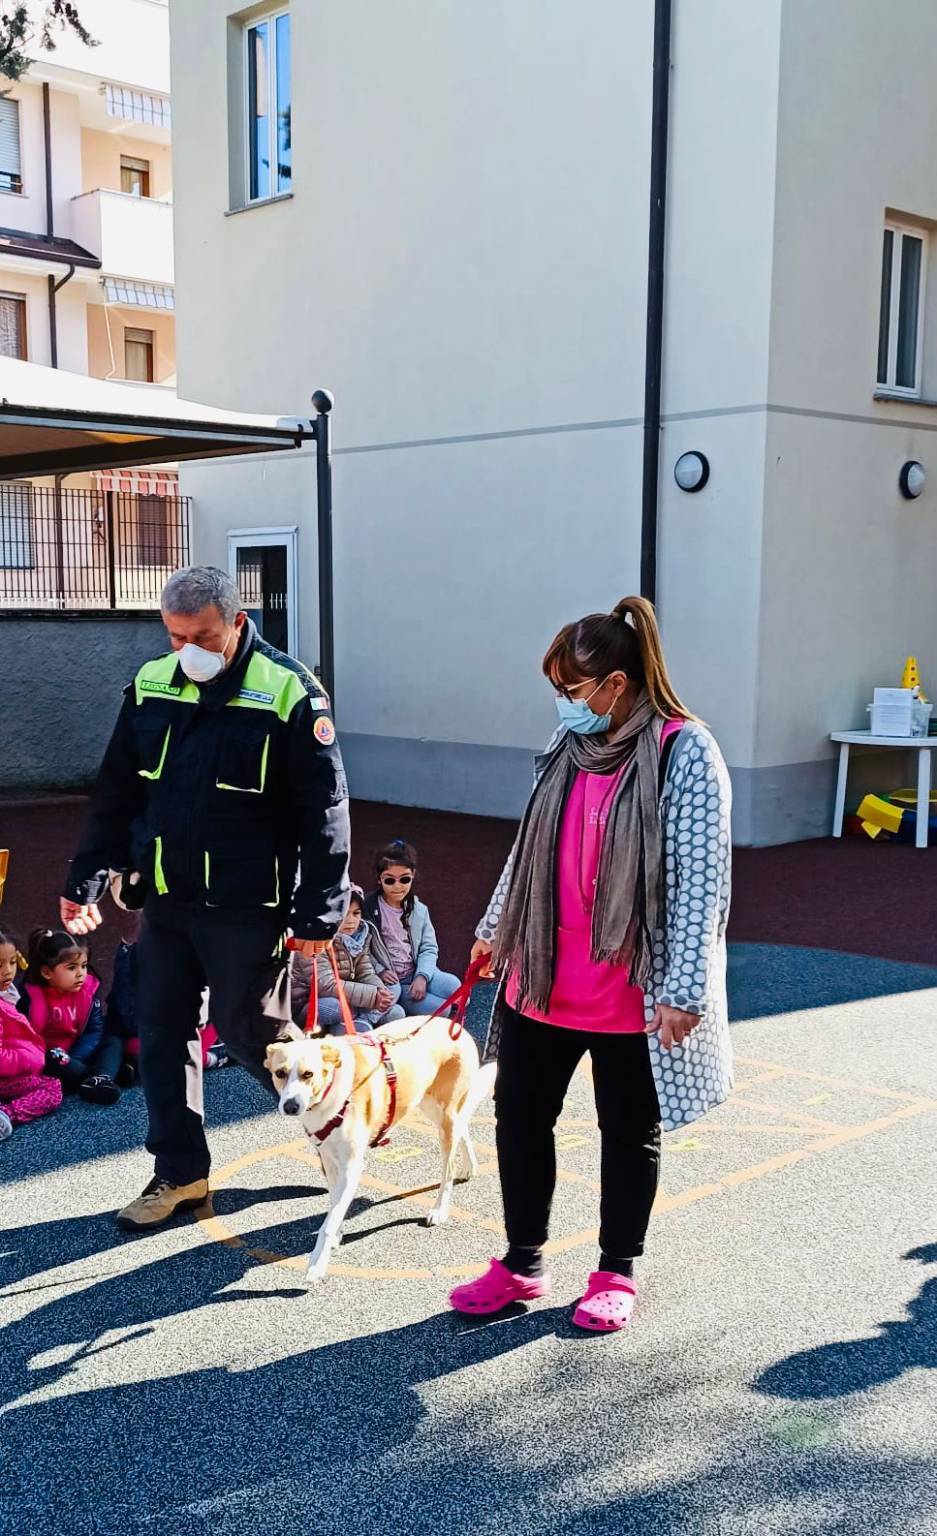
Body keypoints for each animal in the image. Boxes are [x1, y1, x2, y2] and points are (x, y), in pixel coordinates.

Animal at [261, 1019, 491, 1284]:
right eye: (280, 1073)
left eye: (308, 1074)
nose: (290, 1106)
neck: (330, 1093)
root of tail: (454, 1025)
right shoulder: (330, 1161)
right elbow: (334, 1206)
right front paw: (336, 1232)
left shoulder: (351, 1167)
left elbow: (328, 1223)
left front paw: (317, 1265)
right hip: (431, 1106)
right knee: (463, 1127)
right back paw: (470, 1166)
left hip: (444, 1115)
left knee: (448, 1169)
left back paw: (439, 1209)